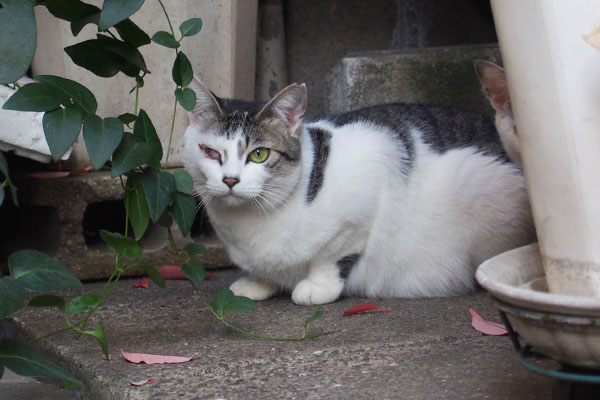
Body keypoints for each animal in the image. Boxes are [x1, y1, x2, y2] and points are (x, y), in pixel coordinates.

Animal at [184, 66, 536, 306]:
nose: (230, 180)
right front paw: (256, 284)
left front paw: (317, 287)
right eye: (211, 152)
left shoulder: (373, 172)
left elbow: (332, 254)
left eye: (259, 154)